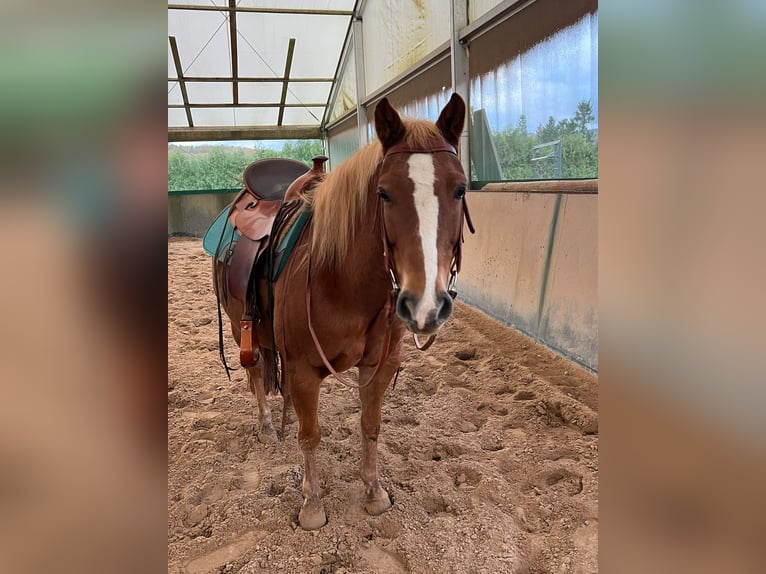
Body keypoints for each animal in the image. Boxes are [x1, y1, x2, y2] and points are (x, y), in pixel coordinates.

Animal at [213, 93, 472, 530]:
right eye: (384, 193)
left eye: (460, 190)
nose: (425, 305)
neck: (343, 280)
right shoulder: (301, 370)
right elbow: (310, 435)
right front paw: (312, 504)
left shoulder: (380, 365)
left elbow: (369, 425)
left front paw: (374, 492)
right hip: (238, 326)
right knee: (254, 373)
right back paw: (266, 425)